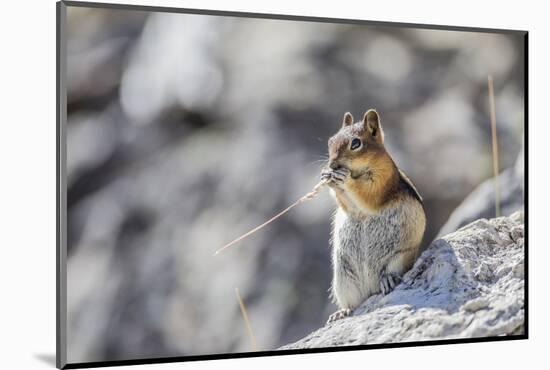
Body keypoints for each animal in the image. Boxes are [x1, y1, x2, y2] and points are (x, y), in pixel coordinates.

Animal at [324, 108, 426, 322]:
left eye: (356, 143)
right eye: (330, 141)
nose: (332, 164)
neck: (358, 171)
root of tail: (371, 290)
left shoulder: (383, 178)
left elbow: (368, 195)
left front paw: (344, 179)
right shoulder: (349, 206)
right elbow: (345, 204)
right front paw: (328, 178)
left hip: (399, 258)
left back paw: (387, 280)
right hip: (344, 280)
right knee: (353, 303)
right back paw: (342, 312)